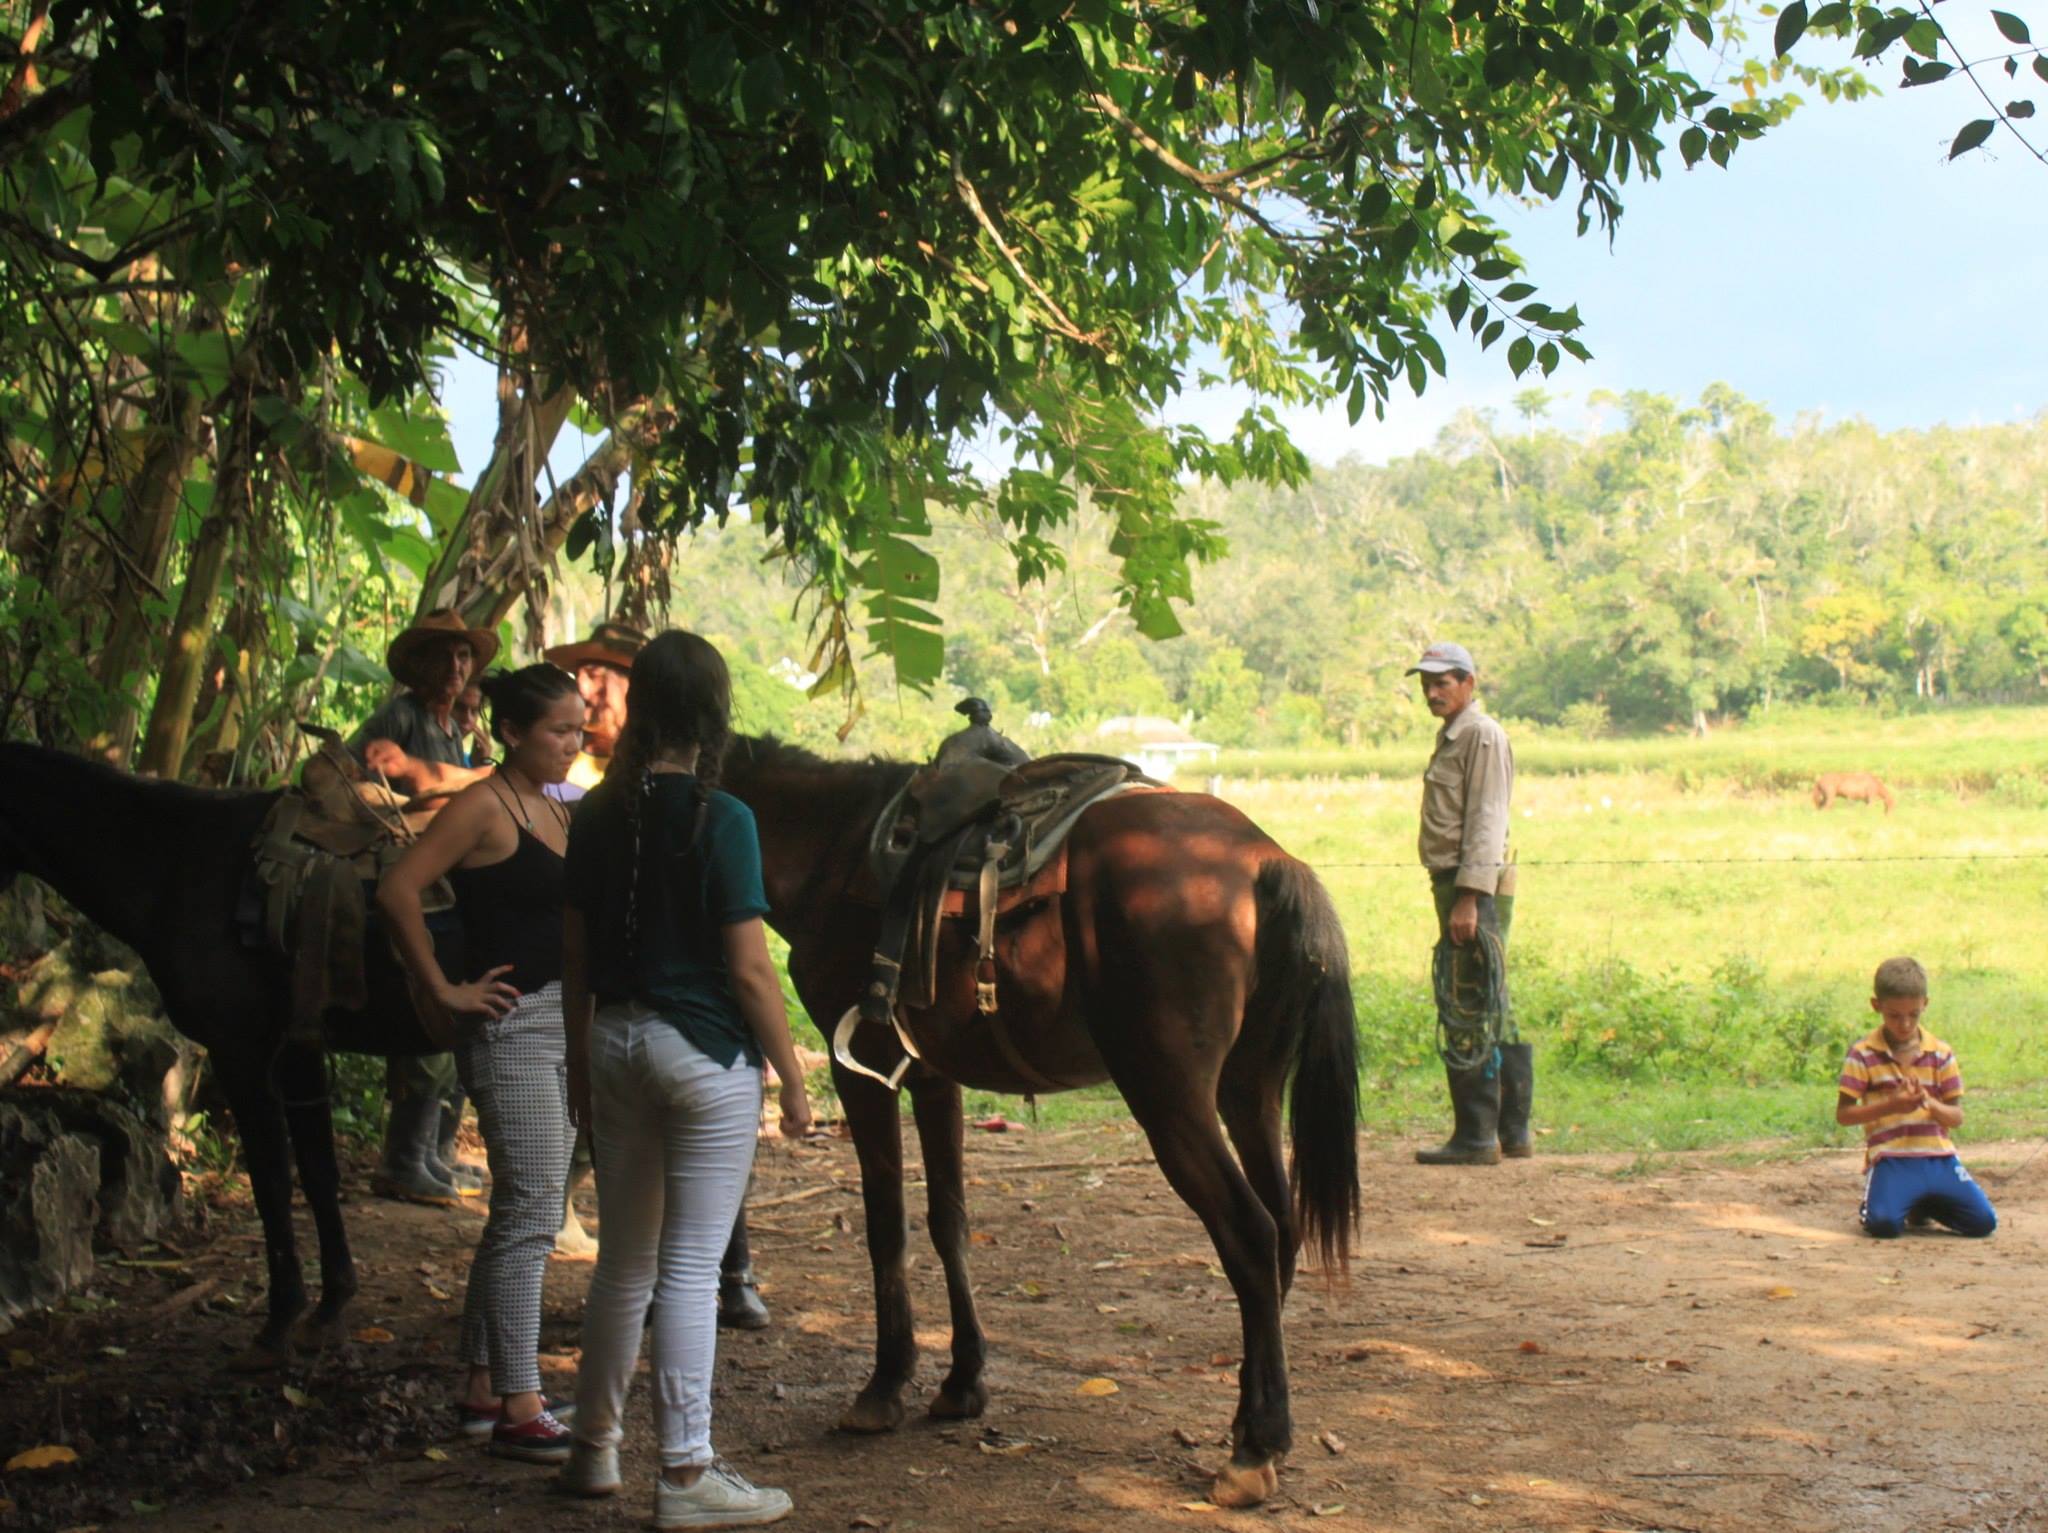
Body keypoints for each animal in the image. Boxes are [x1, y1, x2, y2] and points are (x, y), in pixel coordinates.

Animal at [720, 740, 1359, 1506]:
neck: (834, 845)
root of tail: (1264, 859)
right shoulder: (934, 1078)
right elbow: (949, 1221)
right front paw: (962, 1382)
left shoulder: (864, 1071)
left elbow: (886, 1227)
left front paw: (884, 1385)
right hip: (1248, 1091)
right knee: (1283, 1228)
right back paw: (1247, 1422)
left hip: (1171, 1098)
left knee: (1251, 1234)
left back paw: (1255, 1447)